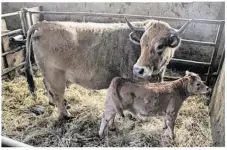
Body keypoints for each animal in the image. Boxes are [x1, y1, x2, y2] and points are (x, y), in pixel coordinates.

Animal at [24, 17, 192, 119]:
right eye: (141, 43)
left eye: (160, 46)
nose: (138, 69)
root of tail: (44, 24)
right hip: (55, 74)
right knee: (57, 93)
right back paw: (66, 114)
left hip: (49, 74)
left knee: (47, 86)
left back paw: (52, 102)